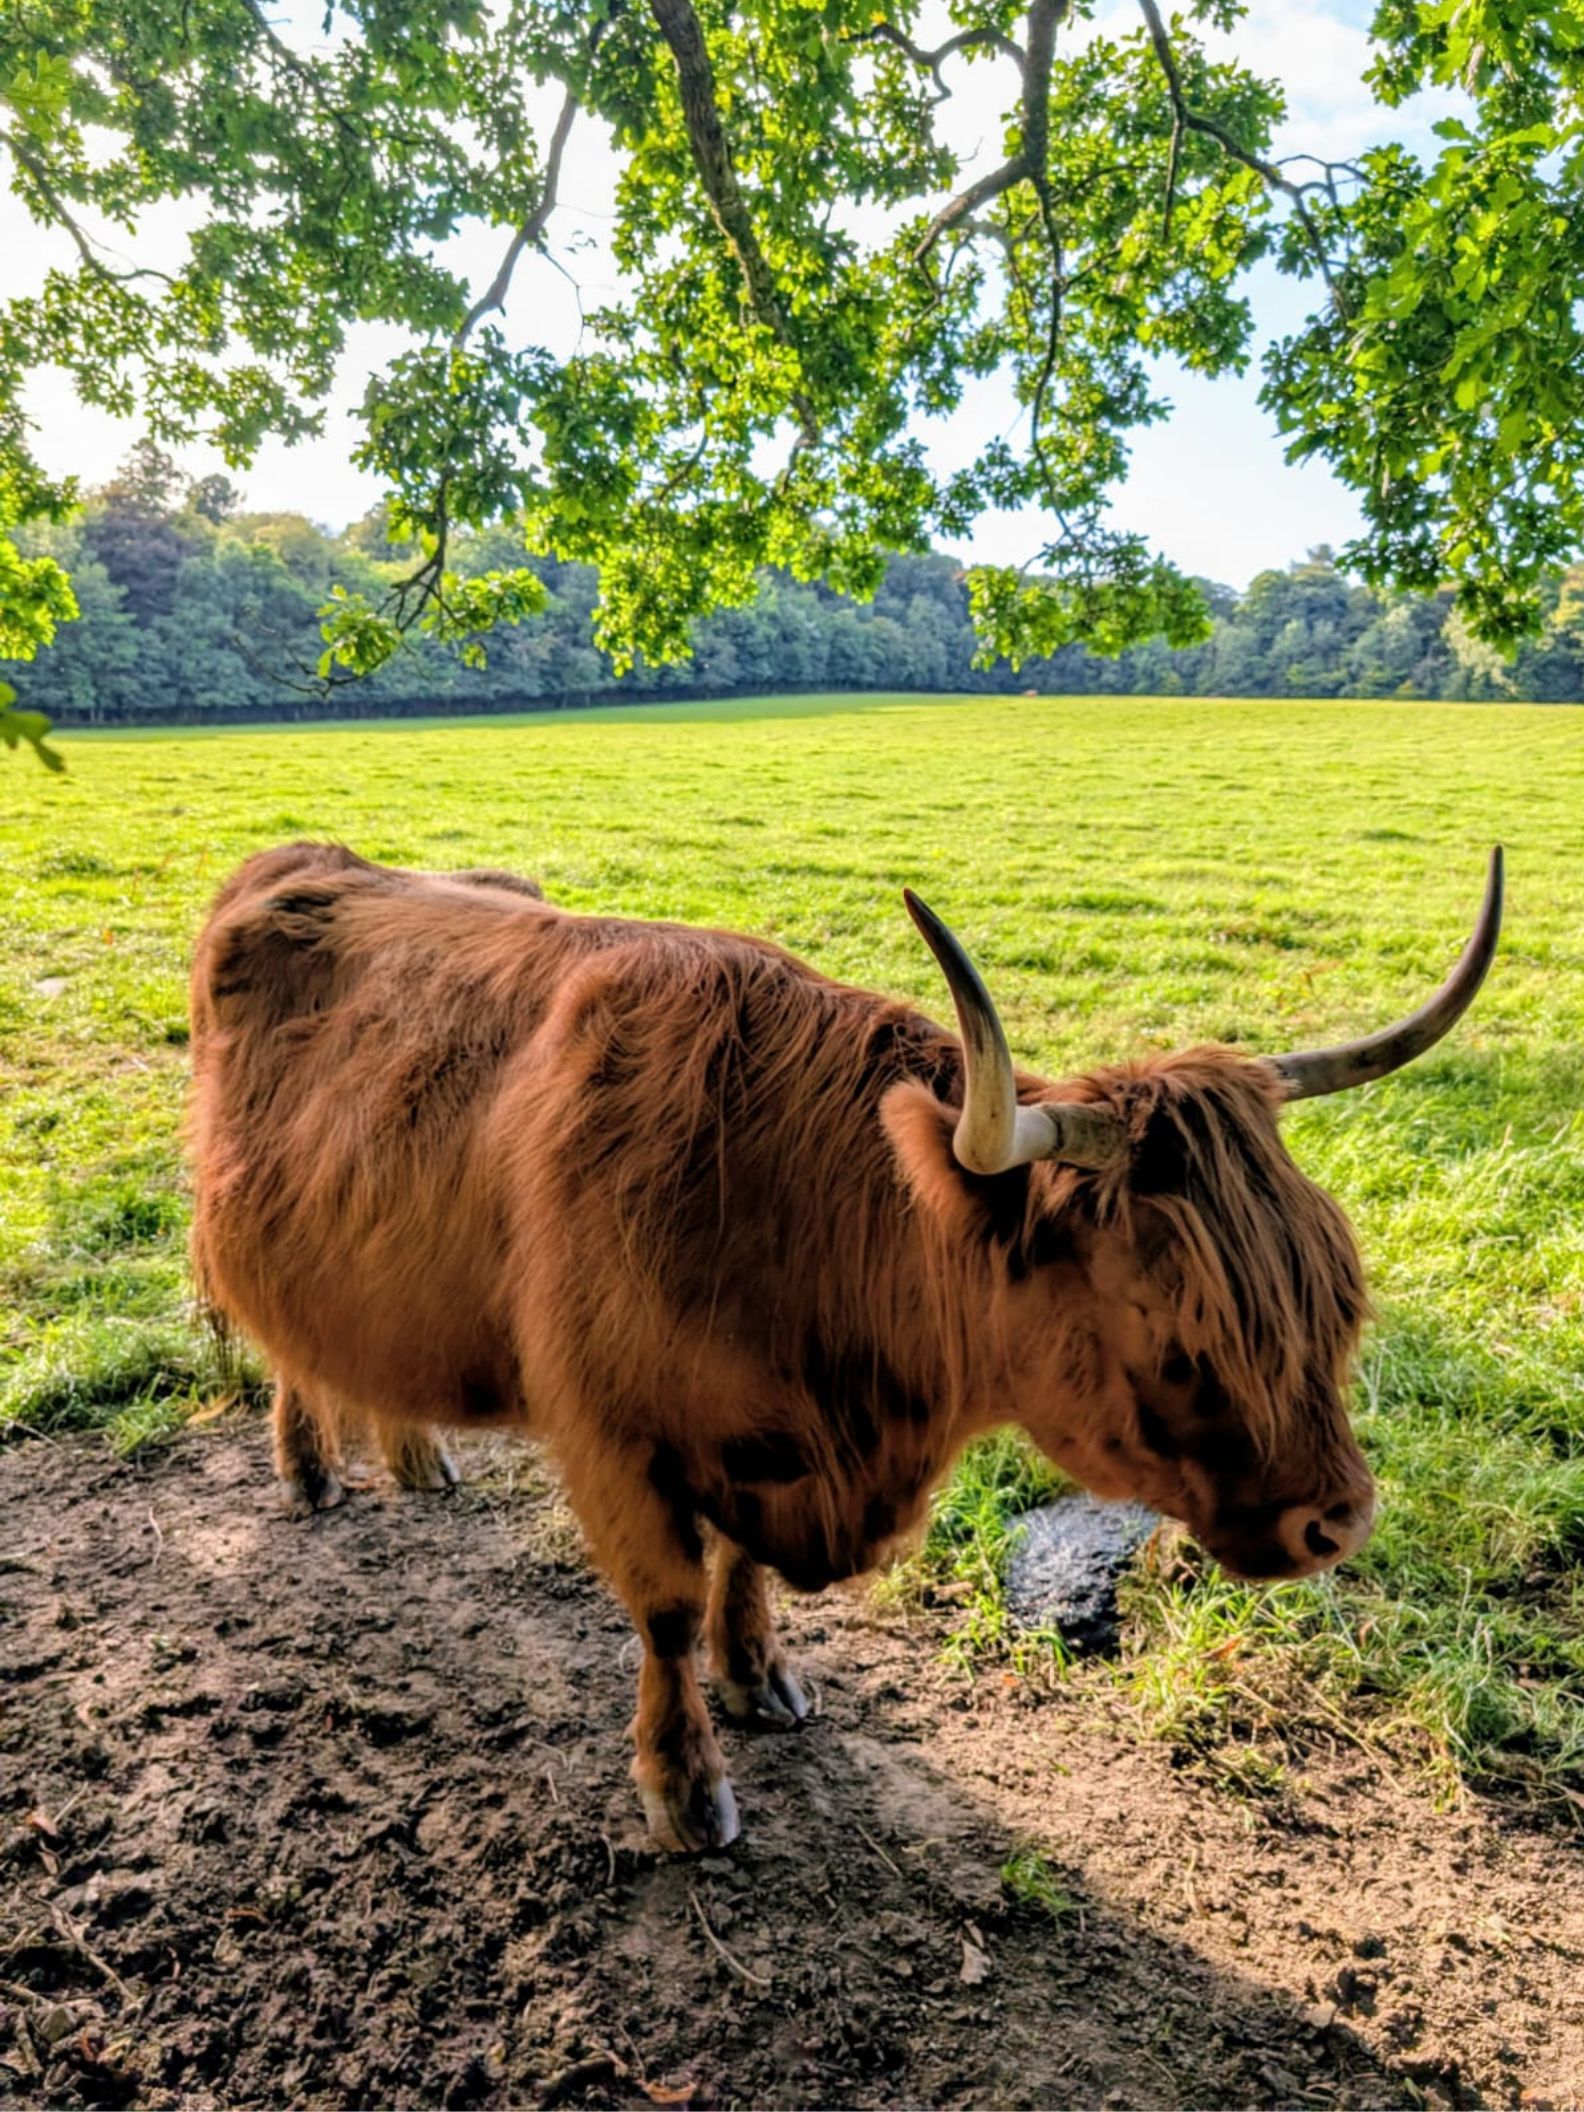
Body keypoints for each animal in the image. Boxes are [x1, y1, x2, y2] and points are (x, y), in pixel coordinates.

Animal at [188, 840, 1502, 1851]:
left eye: (1332, 1292)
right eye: (1175, 1324)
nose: (1340, 1521)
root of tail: (298, 858)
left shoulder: (760, 1438)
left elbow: (742, 1570)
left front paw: (762, 1677)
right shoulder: (614, 1436)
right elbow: (668, 1609)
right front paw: (686, 1788)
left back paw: (417, 1457)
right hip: (254, 1234)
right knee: (290, 1345)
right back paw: (310, 1469)